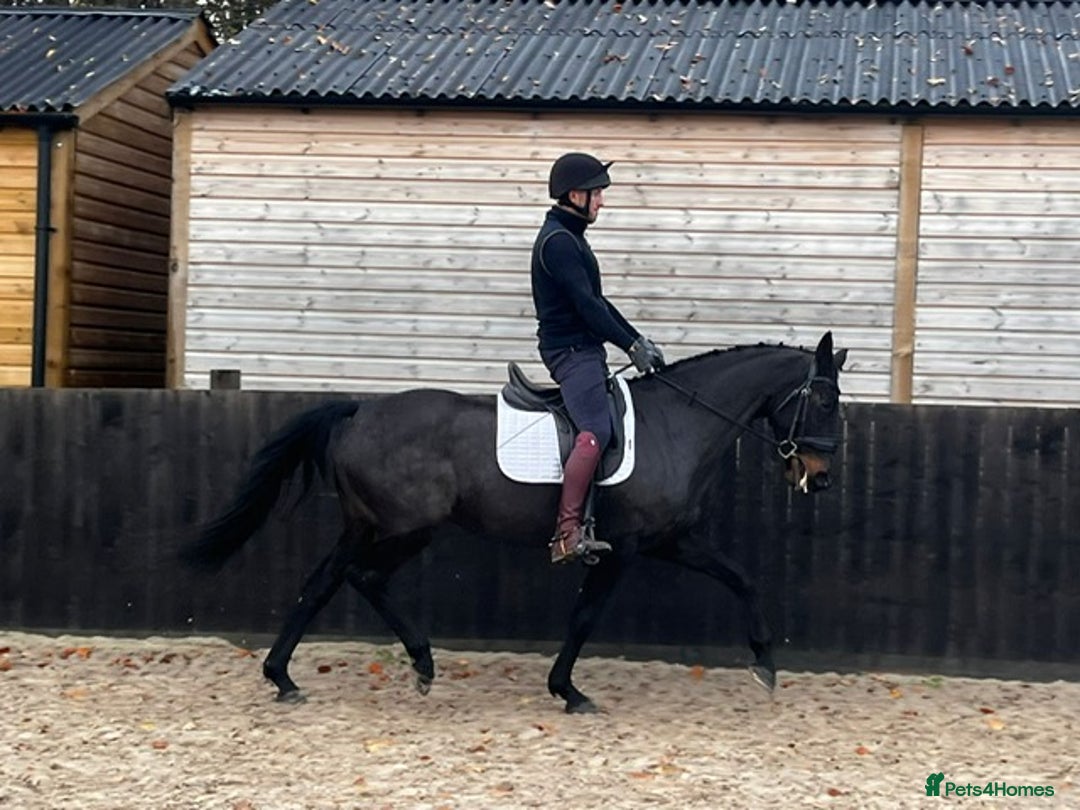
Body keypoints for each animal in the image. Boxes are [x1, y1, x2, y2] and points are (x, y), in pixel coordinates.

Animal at [181, 331, 847, 714]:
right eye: (822, 399)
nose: (820, 475)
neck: (676, 424)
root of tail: (359, 411)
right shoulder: (625, 548)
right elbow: (585, 617)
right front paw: (568, 691)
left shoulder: (672, 540)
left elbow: (741, 578)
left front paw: (765, 663)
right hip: (407, 528)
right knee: (363, 579)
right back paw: (419, 664)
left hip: (366, 525)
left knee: (321, 583)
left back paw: (284, 677)